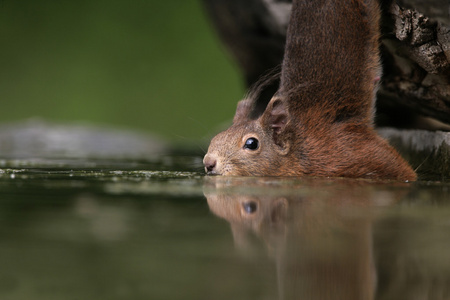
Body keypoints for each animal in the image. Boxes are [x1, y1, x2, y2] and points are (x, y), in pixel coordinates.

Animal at [202, 0, 416, 180]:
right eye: (216, 137)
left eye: (251, 144)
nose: (208, 162)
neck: (298, 149)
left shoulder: (354, 151)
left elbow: (399, 169)